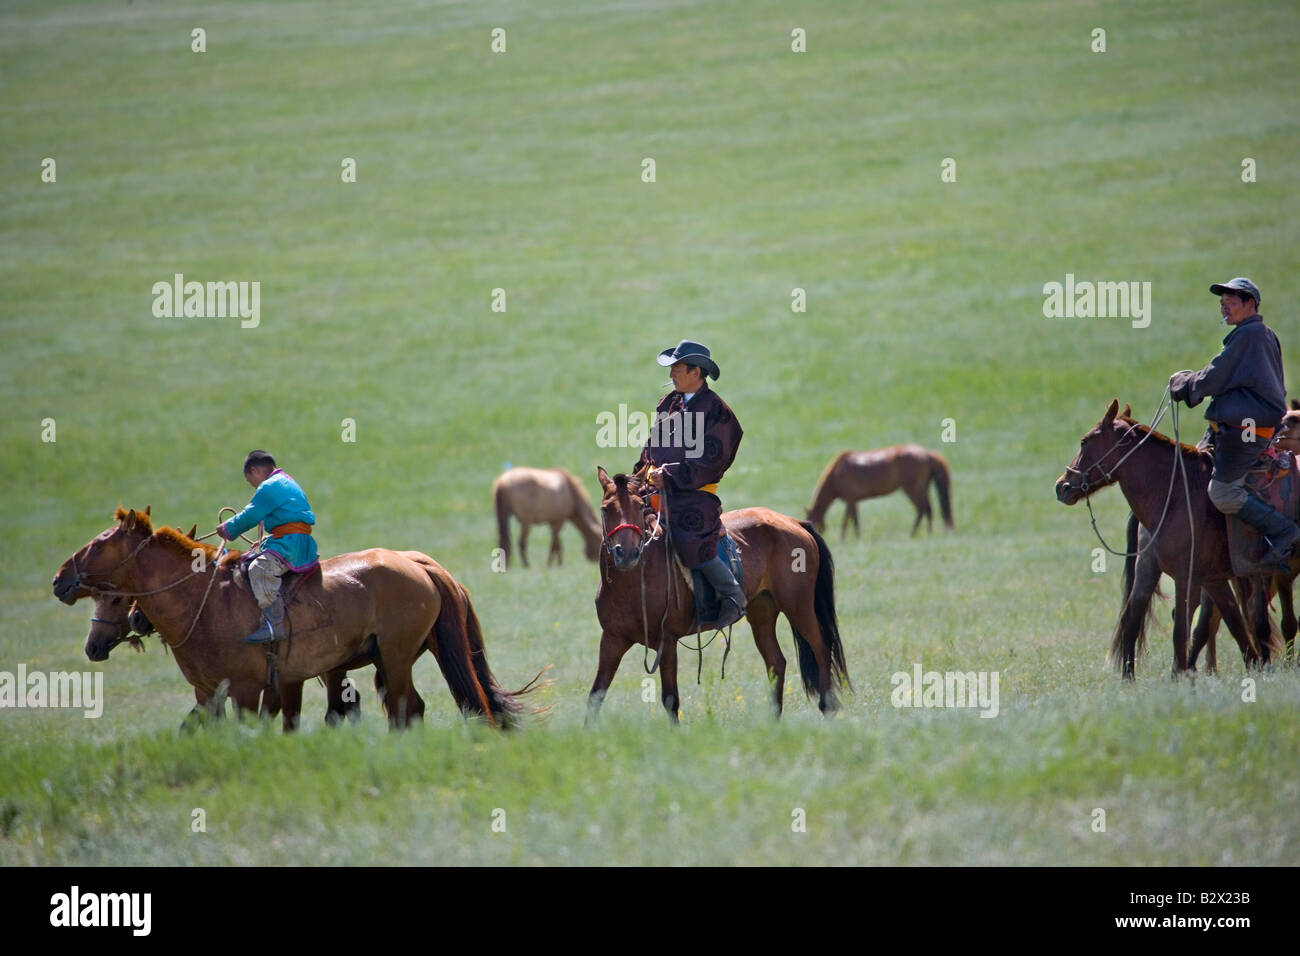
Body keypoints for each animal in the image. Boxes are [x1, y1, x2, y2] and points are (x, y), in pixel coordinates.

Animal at [54, 512, 533, 728]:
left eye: (99, 544)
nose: (60, 580)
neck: (204, 602)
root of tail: (418, 564)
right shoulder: (212, 692)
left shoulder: (252, 688)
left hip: (396, 657)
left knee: (406, 708)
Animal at [590, 465, 852, 723]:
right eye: (605, 509)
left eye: (639, 506)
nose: (626, 553)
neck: (634, 585)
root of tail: (794, 522)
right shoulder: (612, 640)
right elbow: (596, 695)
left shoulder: (668, 642)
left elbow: (670, 700)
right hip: (762, 612)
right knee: (776, 662)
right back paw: (774, 721)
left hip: (798, 606)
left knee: (821, 647)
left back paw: (827, 708)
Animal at [800, 447, 956, 538]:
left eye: (811, 521)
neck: (837, 473)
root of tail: (927, 454)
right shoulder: (854, 501)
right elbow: (853, 519)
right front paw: (854, 537)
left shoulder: (850, 500)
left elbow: (848, 520)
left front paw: (845, 538)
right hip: (923, 488)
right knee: (928, 509)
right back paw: (928, 532)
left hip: (913, 489)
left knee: (922, 509)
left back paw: (913, 533)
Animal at [1050, 400, 1274, 676]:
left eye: (1085, 441)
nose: (1061, 486)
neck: (1175, 495)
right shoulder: (1180, 572)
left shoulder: (1198, 575)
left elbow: (1208, 624)